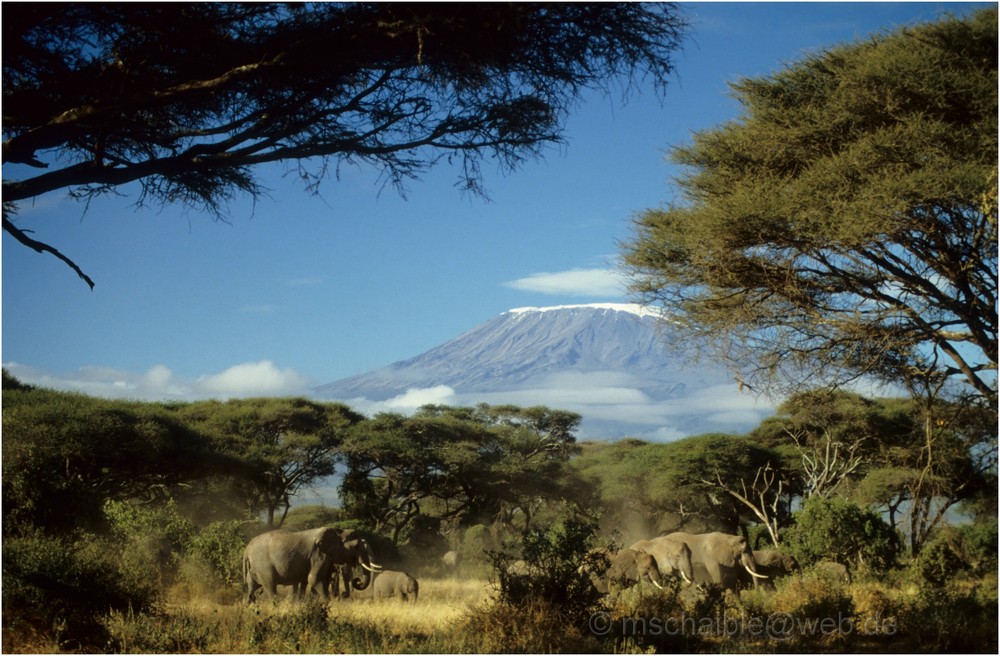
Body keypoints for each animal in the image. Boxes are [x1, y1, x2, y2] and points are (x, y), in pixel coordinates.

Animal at [244, 524, 380, 604]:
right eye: (356, 546)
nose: (357, 581)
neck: (338, 532)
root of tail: (247, 549)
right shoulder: (319, 555)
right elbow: (313, 579)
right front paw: (327, 603)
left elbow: (320, 580)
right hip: (263, 565)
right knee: (271, 586)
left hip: (254, 568)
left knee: (251, 588)